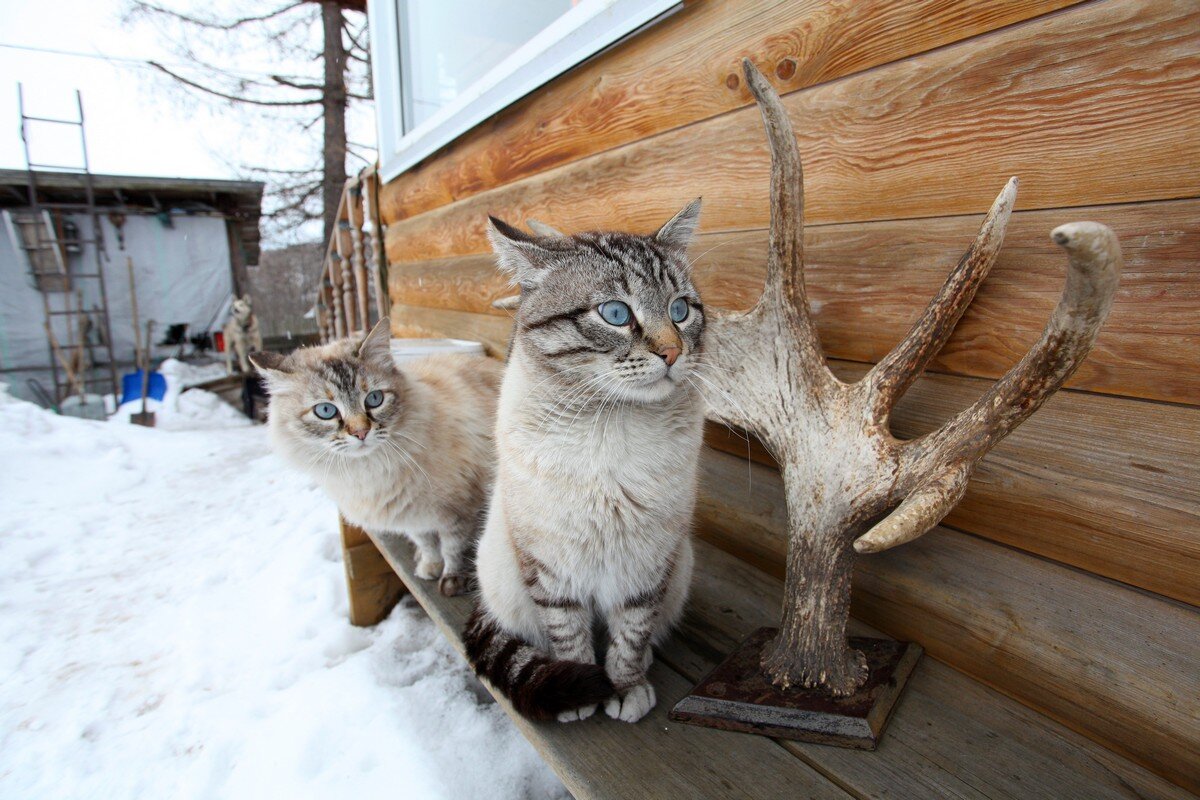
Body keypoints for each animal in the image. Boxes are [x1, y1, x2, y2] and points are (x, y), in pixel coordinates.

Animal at [249, 316, 501, 594]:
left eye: (374, 399)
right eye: (325, 411)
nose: (361, 432)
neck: (369, 471)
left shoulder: (456, 512)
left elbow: (451, 549)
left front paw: (451, 580)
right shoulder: (411, 516)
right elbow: (427, 544)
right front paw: (429, 568)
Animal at [463, 200, 705, 724]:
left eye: (680, 310)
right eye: (615, 314)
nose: (672, 352)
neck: (608, 425)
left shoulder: (647, 561)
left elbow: (631, 632)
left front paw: (624, 687)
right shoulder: (550, 563)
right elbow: (568, 633)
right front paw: (585, 691)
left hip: (680, 568)